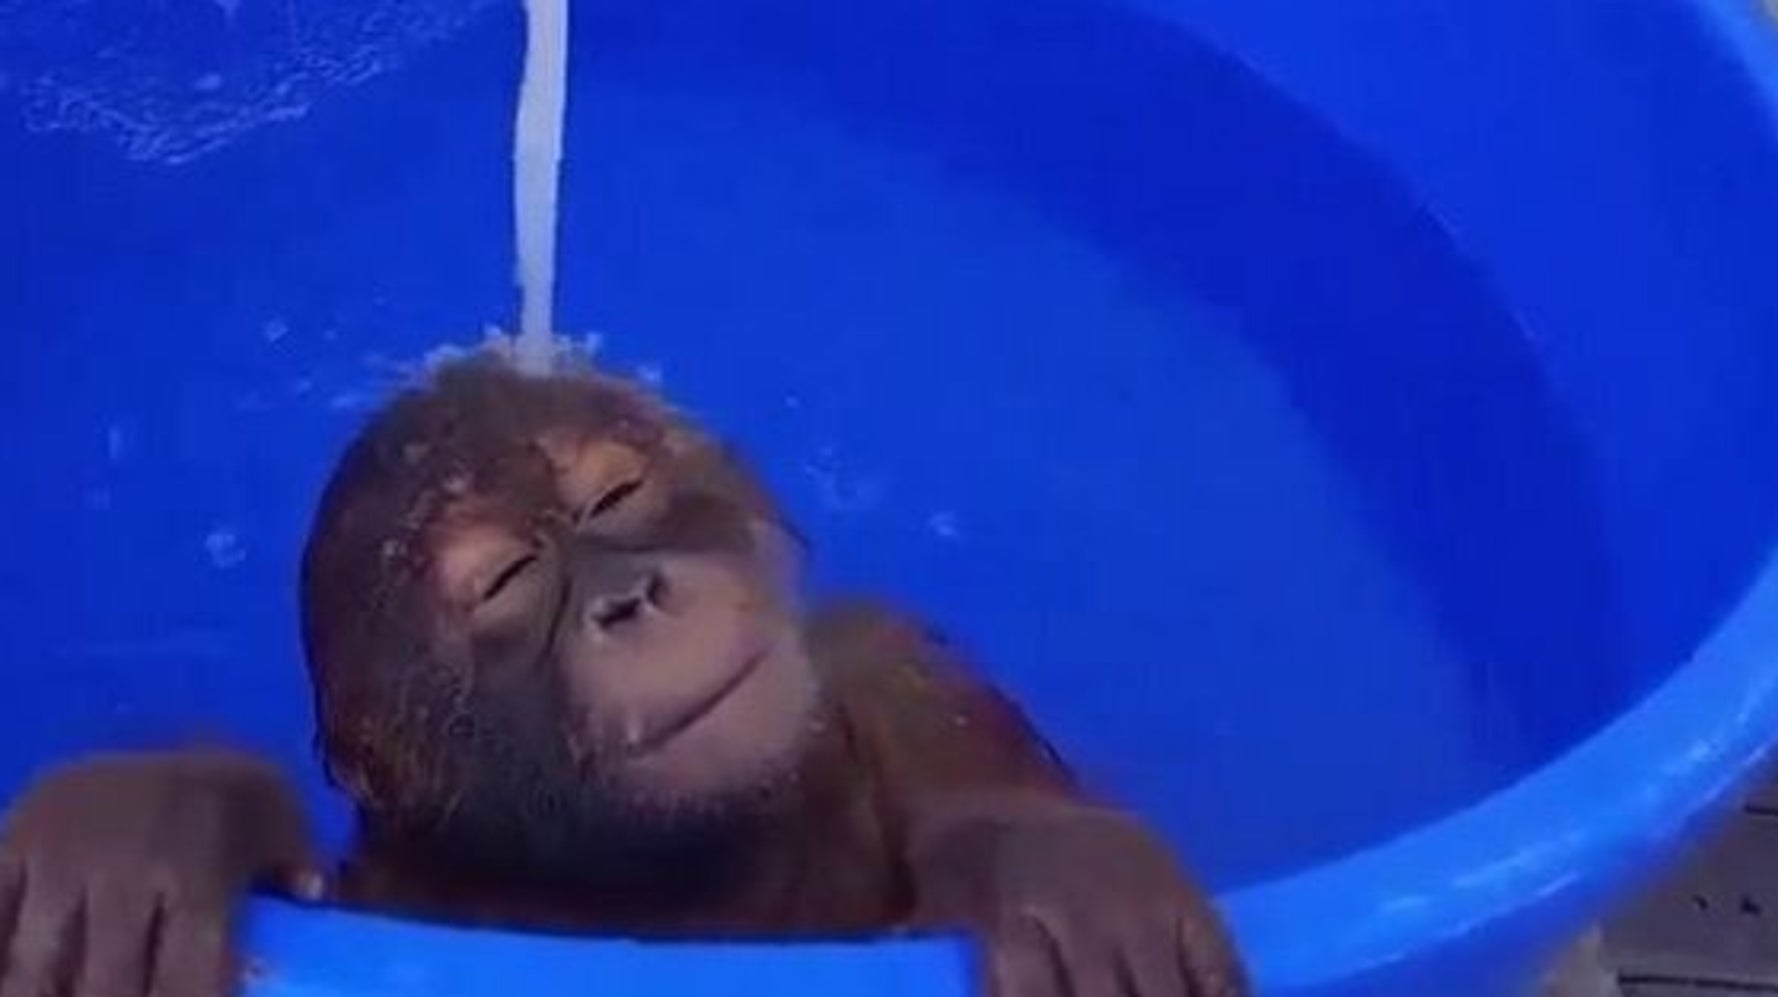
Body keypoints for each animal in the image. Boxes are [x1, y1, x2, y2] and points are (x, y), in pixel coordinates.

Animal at [0, 352, 1248, 997]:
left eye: (613, 495)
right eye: (505, 581)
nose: (626, 594)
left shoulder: (894, 660)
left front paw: (1046, 855)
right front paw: (159, 811)